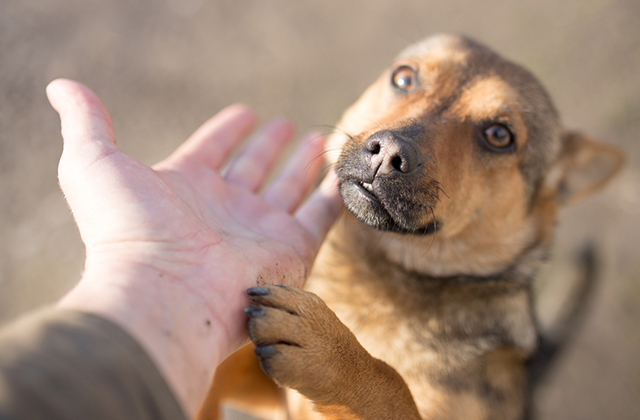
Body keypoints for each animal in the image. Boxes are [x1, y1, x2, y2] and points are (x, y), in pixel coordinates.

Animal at [196, 35, 624, 420]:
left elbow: (391, 386)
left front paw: (332, 351)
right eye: (403, 78)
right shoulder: (263, 394)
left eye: (499, 135)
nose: (388, 152)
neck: (375, 277)